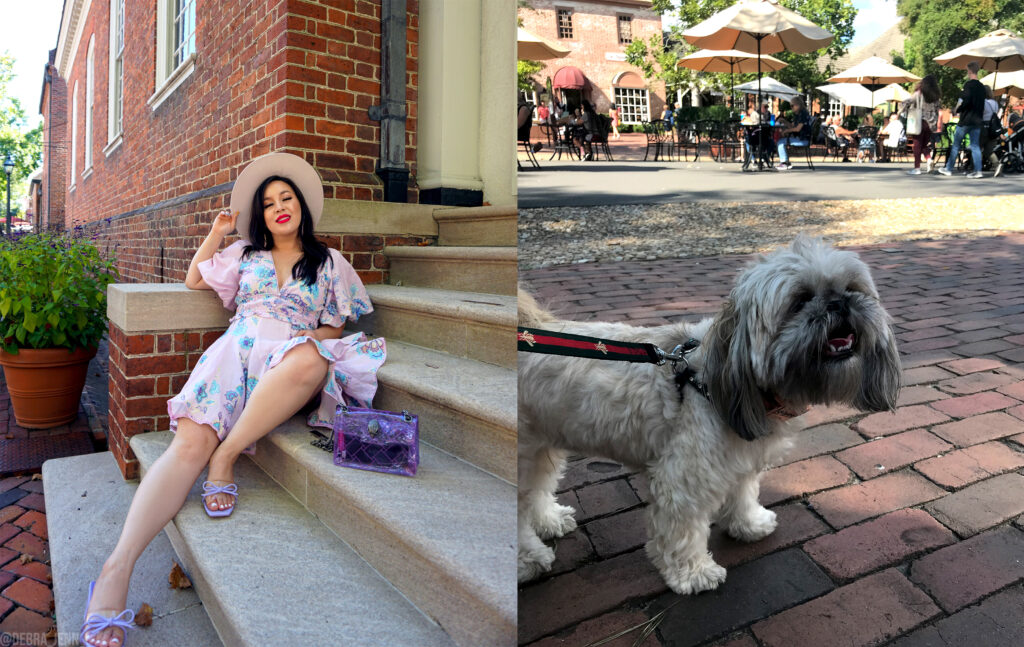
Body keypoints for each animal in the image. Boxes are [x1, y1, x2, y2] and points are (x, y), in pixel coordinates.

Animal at [516, 237, 901, 597]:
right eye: (800, 300)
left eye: (852, 289)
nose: (840, 303)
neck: (710, 378)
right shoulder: (683, 479)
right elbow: (682, 531)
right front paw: (693, 573)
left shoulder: (739, 457)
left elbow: (743, 492)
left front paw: (749, 524)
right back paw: (529, 560)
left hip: (541, 445)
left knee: (536, 488)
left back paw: (549, 521)